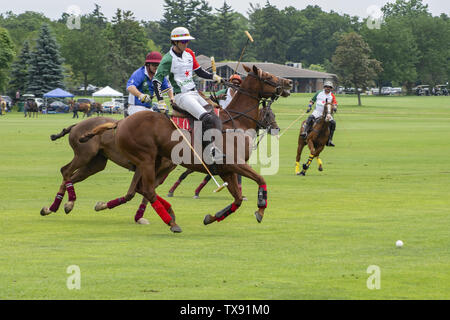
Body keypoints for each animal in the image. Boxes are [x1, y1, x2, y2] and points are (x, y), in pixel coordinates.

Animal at [80, 65, 292, 234]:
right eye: (269, 76)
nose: (289, 82)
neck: (237, 122)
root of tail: (121, 122)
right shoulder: (234, 163)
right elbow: (261, 179)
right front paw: (260, 209)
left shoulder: (226, 170)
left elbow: (238, 199)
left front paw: (212, 217)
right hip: (146, 158)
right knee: (147, 189)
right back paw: (171, 222)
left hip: (156, 160)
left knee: (141, 189)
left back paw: (167, 212)